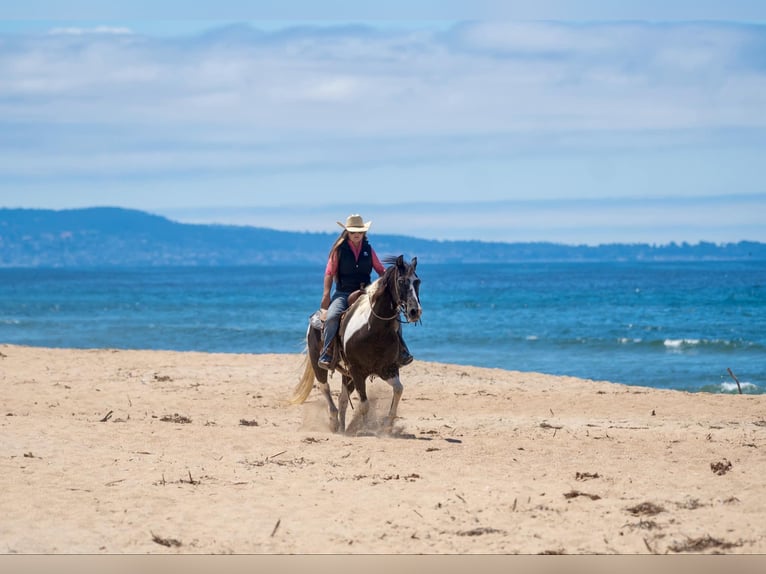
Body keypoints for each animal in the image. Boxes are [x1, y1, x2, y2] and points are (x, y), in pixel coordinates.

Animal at [291, 254, 421, 434]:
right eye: (401, 281)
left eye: (418, 281)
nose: (415, 311)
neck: (374, 330)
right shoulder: (357, 370)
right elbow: (364, 404)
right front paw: (365, 429)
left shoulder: (388, 369)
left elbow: (398, 389)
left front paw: (387, 425)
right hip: (320, 364)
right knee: (325, 388)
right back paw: (334, 422)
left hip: (347, 375)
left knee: (342, 399)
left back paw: (342, 428)